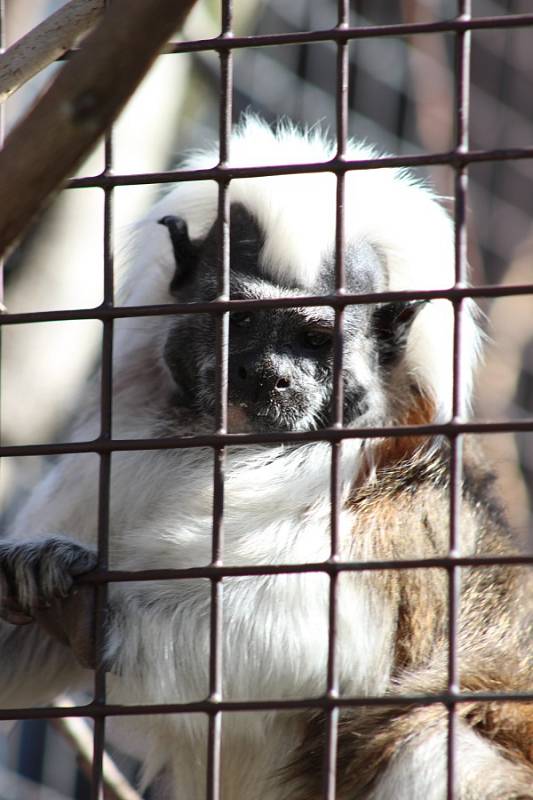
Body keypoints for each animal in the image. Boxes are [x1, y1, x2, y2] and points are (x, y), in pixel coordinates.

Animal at [0, 114, 528, 800]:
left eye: (315, 340)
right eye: (244, 323)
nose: (271, 376)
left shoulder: (385, 516)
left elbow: (313, 639)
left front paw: (89, 612)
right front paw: (41, 572)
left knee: (438, 740)